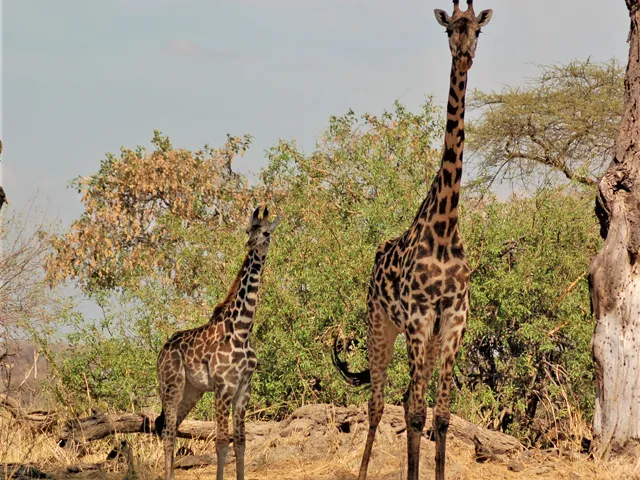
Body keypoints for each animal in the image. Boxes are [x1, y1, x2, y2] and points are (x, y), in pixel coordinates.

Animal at [156, 208, 278, 480]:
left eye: (266, 232)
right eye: (248, 230)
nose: (251, 244)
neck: (242, 329)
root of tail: (162, 352)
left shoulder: (243, 389)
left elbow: (240, 441)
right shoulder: (223, 388)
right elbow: (222, 441)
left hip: (192, 391)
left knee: (170, 428)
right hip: (171, 386)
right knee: (168, 432)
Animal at [336, 1, 496, 478]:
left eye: (478, 30)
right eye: (449, 31)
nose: (464, 54)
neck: (445, 228)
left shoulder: (454, 318)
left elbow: (440, 415)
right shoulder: (420, 317)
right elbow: (415, 413)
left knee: (403, 401)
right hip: (380, 325)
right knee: (376, 404)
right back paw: (362, 470)